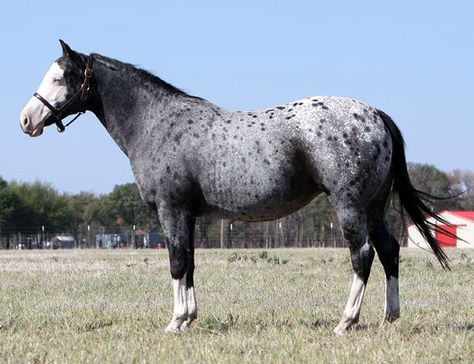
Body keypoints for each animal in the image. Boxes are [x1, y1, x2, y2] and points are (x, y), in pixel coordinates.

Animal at [19, 40, 452, 336]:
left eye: (58, 77)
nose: (26, 119)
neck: (156, 123)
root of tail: (374, 114)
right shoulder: (189, 215)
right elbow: (190, 262)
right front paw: (189, 317)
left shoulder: (172, 210)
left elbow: (176, 262)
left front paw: (175, 322)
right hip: (374, 206)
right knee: (389, 250)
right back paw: (389, 317)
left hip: (349, 206)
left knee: (362, 255)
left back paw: (346, 322)